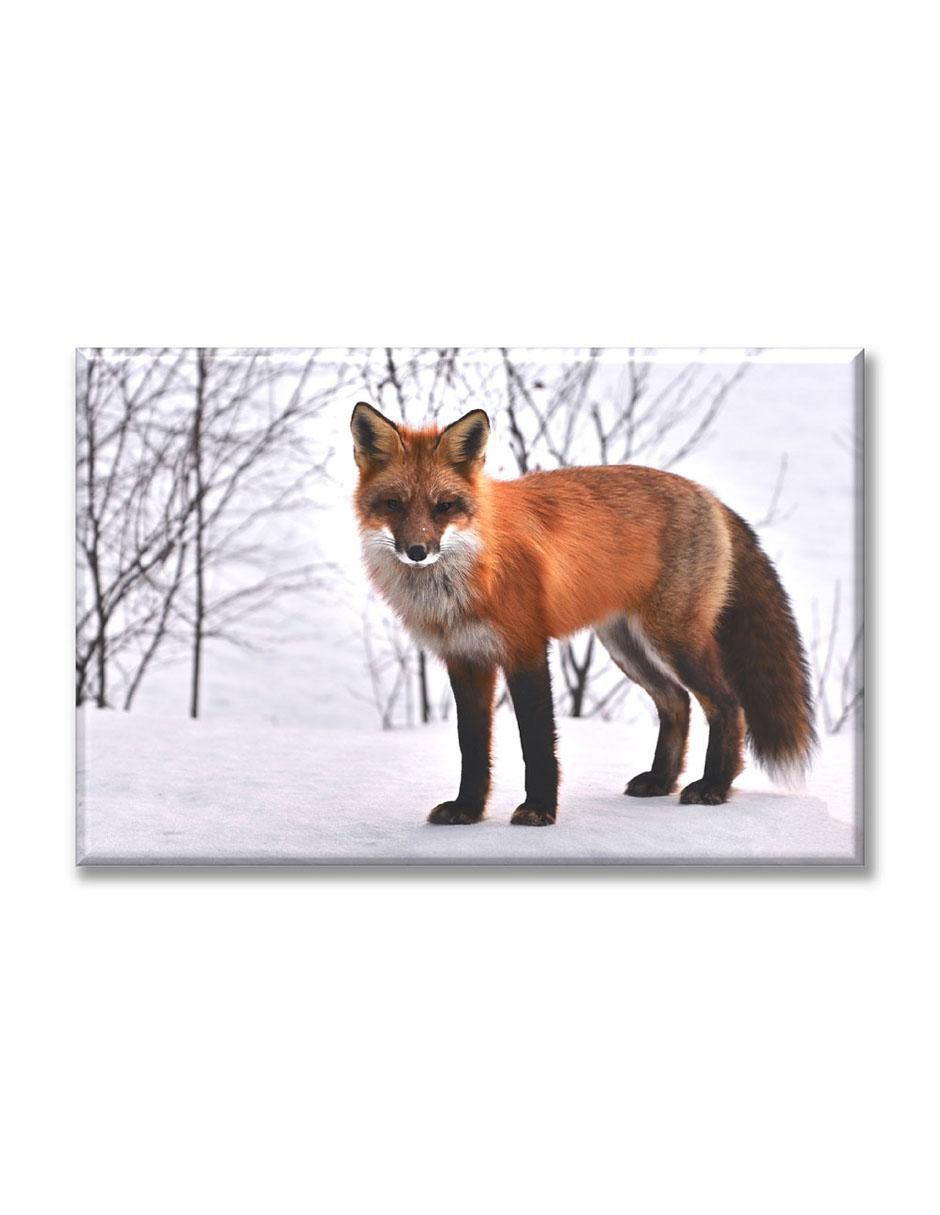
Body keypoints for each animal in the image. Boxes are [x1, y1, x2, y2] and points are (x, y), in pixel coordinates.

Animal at [351, 401, 816, 826]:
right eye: (394, 504)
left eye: (444, 506)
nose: (417, 551)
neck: (467, 576)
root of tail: (710, 496)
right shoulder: (465, 659)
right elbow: (473, 746)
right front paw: (468, 810)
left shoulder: (525, 649)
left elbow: (537, 741)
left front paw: (539, 809)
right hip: (627, 646)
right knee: (676, 702)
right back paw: (661, 781)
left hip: (674, 641)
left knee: (728, 705)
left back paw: (714, 786)